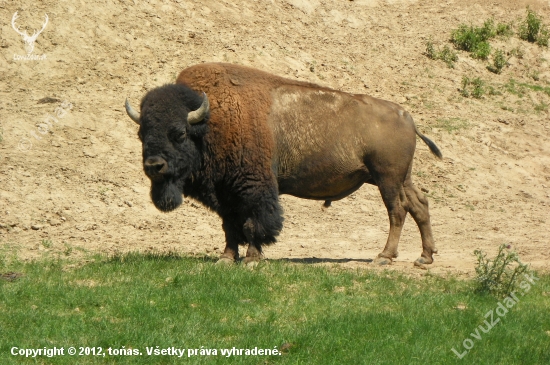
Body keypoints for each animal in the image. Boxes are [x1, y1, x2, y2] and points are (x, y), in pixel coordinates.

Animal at [125, 62, 444, 266]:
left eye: (179, 133)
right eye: (142, 134)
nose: (154, 165)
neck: (211, 121)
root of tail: (406, 116)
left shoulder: (254, 189)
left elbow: (254, 223)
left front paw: (252, 260)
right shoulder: (225, 193)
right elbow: (230, 226)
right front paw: (226, 259)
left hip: (387, 178)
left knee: (397, 211)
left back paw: (384, 258)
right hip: (401, 178)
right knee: (419, 205)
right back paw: (425, 257)